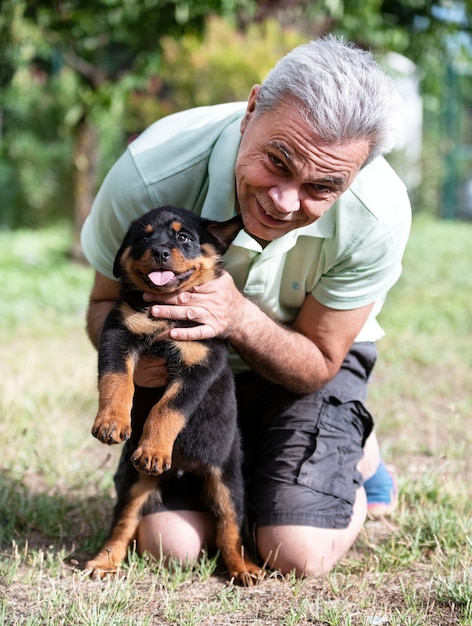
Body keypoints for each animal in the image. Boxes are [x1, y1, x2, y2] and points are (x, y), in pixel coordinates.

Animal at [86, 206, 264, 584]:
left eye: (184, 237)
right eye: (143, 238)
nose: (160, 252)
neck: (164, 314)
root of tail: (183, 469)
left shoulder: (201, 363)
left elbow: (168, 407)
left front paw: (154, 449)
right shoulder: (118, 334)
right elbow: (116, 380)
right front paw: (111, 422)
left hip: (227, 481)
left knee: (229, 528)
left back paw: (244, 568)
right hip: (134, 483)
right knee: (123, 524)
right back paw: (104, 562)